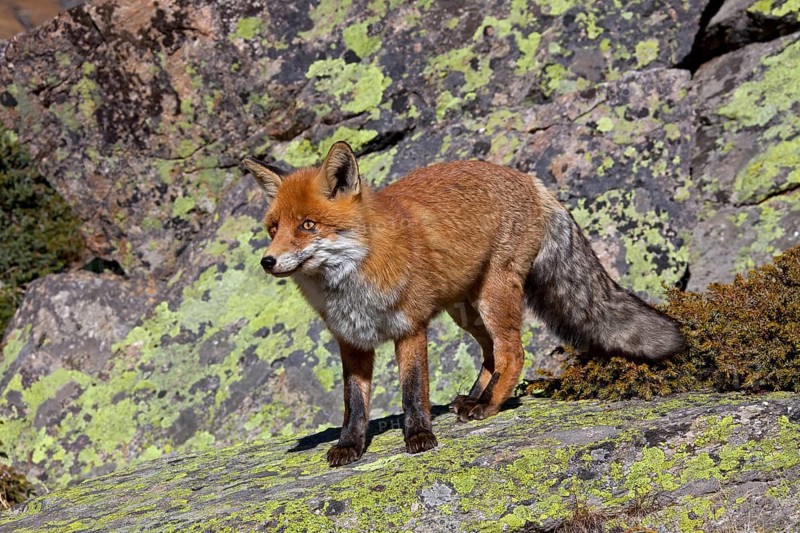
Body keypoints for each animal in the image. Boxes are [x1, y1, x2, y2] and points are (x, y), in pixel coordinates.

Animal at [242, 141, 684, 467]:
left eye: (308, 225)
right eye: (273, 228)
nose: (267, 261)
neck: (354, 279)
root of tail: (530, 179)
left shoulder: (410, 328)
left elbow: (413, 392)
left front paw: (420, 436)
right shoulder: (352, 341)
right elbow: (354, 405)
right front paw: (350, 446)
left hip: (494, 296)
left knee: (513, 352)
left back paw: (487, 407)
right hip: (466, 312)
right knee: (491, 354)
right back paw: (475, 398)